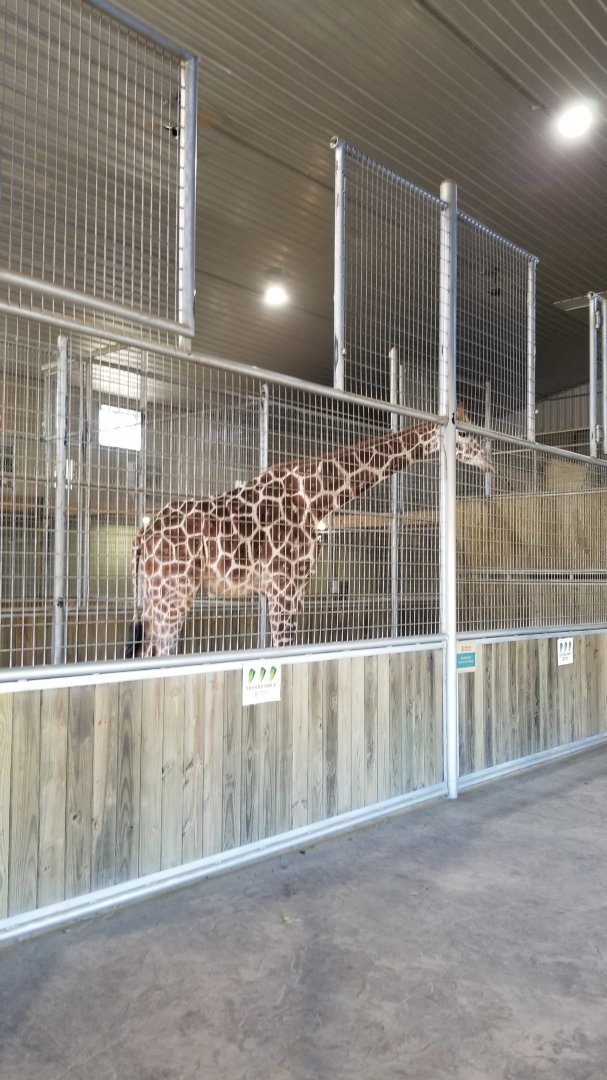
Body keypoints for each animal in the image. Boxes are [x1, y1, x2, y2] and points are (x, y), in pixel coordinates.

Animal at [126, 408, 492, 658]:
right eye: (463, 434)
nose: (490, 461)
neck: (317, 498)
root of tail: (141, 537)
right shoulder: (282, 587)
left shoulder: (294, 589)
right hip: (174, 594)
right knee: (158, 653)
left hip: (154, 597)